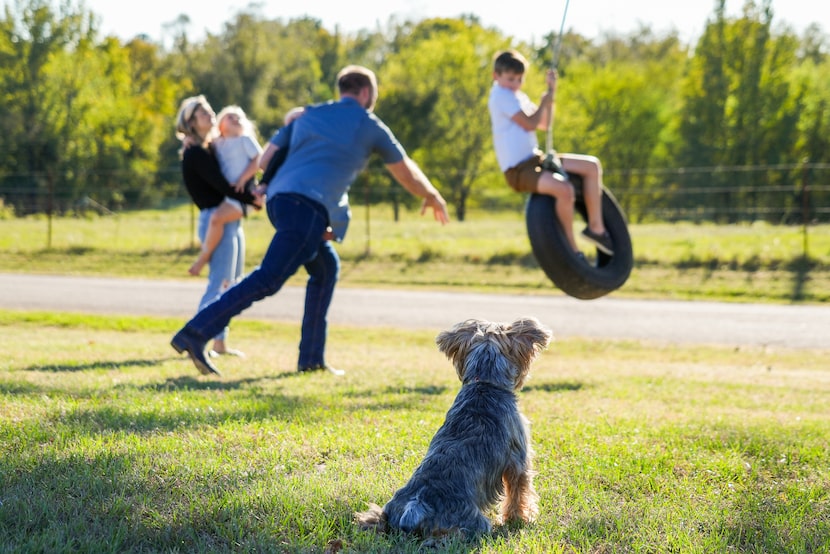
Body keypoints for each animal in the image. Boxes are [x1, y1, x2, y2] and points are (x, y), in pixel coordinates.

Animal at [356, 316, 556, 536]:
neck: (484, 381)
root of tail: (415, 506)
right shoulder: (518, 459)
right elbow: (518, 493)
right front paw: (520, 519)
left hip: (385, 511)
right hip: (473, 522)